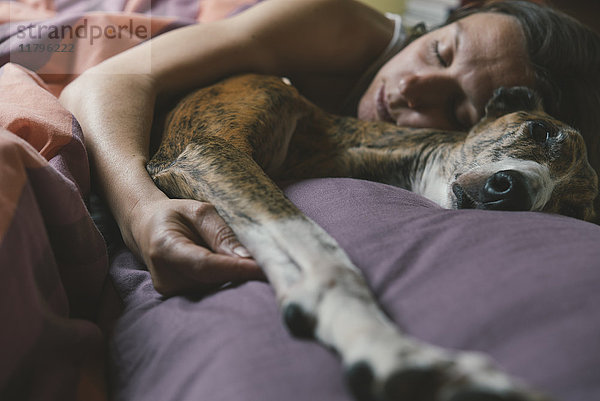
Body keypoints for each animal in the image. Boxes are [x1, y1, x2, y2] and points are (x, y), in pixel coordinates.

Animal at [148, 72, 596, 400]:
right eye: (540, 130)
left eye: (573, 212)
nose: (513, 191)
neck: (338, 143)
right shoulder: (209, 149)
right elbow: (319, 246)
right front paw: (392, 350)